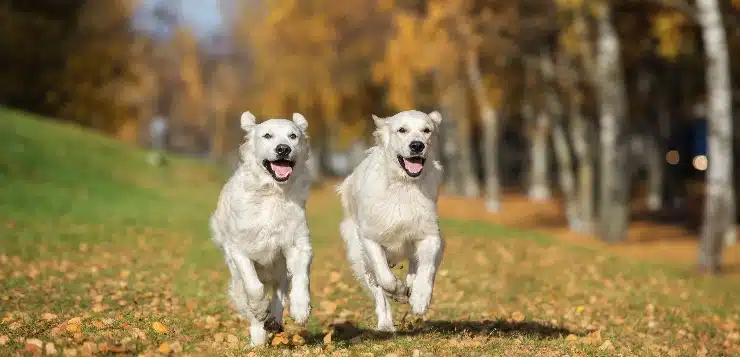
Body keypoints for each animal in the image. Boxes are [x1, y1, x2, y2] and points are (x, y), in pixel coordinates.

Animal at [210, 110, 314, 344]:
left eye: (293, 136)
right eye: (267, 135)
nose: (283, 148)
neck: (273, 192)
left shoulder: (297, 243)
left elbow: (300, 277)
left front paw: (301, 307)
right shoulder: (238, 249)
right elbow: (253, 285)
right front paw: (259, 309)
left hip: (280, 270)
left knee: (279, 291)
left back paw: (274, 319)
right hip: (236, 281)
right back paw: (258, 339)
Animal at [336, 109, 446, 330]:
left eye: (426, 130)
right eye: (402, 130)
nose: (417, 145)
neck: (404, 185)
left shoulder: (430, 235)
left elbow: (427, 267)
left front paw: (419, 298)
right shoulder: (370, 238)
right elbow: (385, 278)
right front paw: (400, 292)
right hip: (359, 258)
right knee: (378, 292)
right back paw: (386, 324)